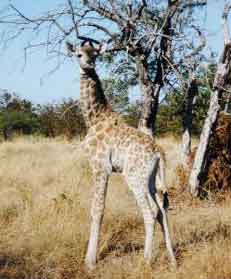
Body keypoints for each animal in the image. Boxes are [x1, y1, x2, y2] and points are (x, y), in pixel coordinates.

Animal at [67, 41, 177, 272]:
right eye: (79, 54)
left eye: (95, 55)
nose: (88, 64)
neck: (93, 118)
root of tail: (158, 153)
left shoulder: (100, 167)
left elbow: (97, 209)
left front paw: (90, 261)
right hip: (150, 179)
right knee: (162, 209)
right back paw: (171, 259)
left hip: (134, 177)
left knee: (150, 212)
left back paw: (146, 260)